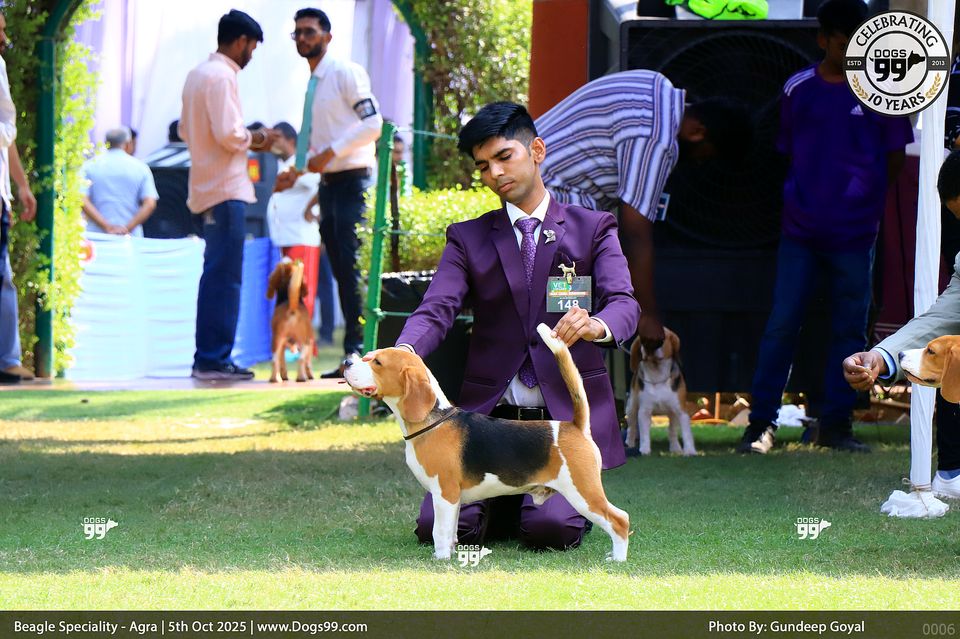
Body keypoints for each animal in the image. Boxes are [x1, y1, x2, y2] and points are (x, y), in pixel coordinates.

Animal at [342, 323, 630, 562]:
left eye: (377, 362)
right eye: (368, 357)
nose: (346, 361)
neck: (434, 420)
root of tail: (575, 426)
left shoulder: (444, 493)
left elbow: (439, 532)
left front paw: (440, 560)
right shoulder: (454, 499)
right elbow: (451, 531)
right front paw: (450, 554)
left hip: (583, 492)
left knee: (620, 520)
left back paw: (617, 559)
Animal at [624, 328, 696, 456]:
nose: (650, 345)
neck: (657, 376)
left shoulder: (681, 411)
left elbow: (686, 433)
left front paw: (689, 450)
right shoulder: (644, 411)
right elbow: (644, 434)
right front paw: (644, 449)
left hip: (672, 414)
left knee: (672, 430)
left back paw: (675, 447)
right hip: (631, 407)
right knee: (631, 427)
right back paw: (630, 443)